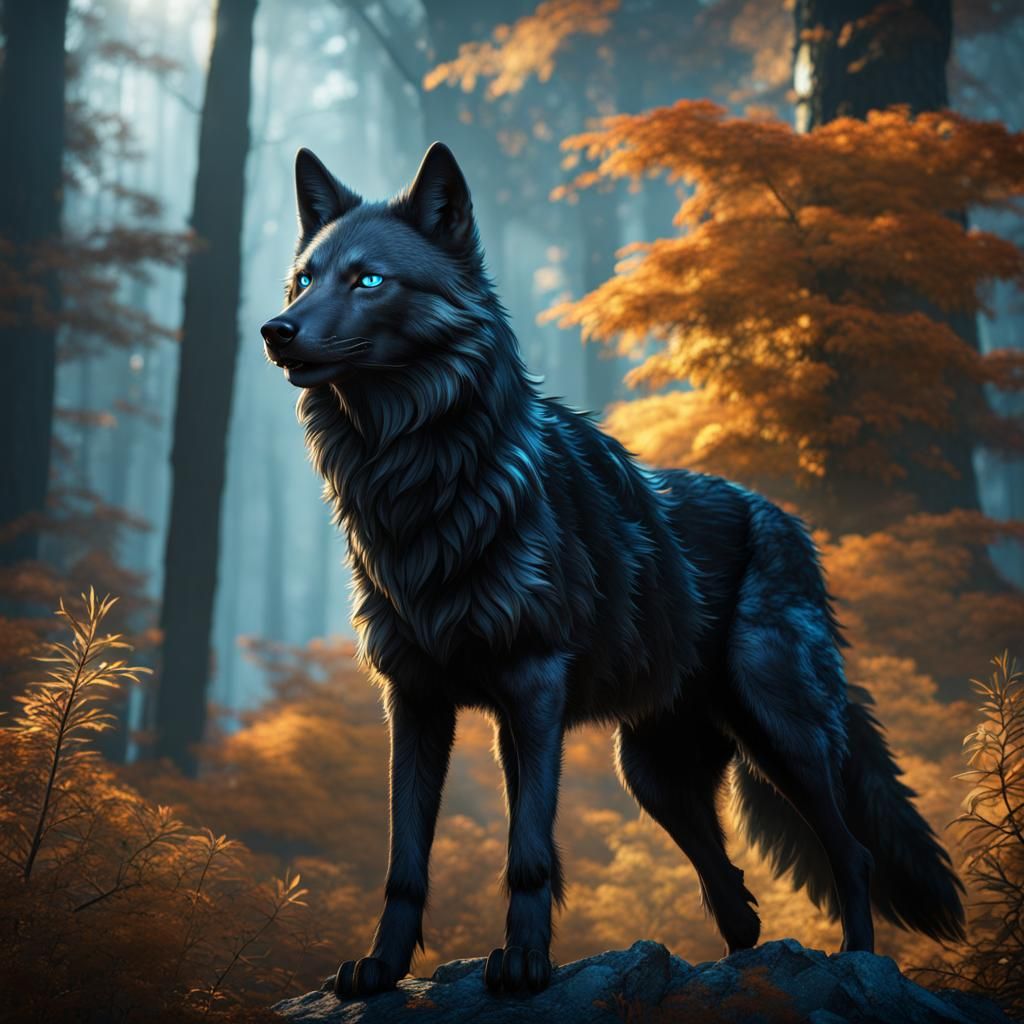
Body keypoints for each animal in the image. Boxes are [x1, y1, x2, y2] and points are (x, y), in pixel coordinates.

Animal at [260, 143, 965, 998]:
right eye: (305, 278)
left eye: (367, 280)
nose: (276, 329)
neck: (415, 478)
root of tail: (789, 519)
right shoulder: (417, 701)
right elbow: (405, 859)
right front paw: (384, 969)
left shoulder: (531, 690)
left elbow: (528, 853)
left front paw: (525, 964)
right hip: (652, 776)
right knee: (735, 900)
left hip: (781, 732)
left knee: (851, 854)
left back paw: (857, 964)